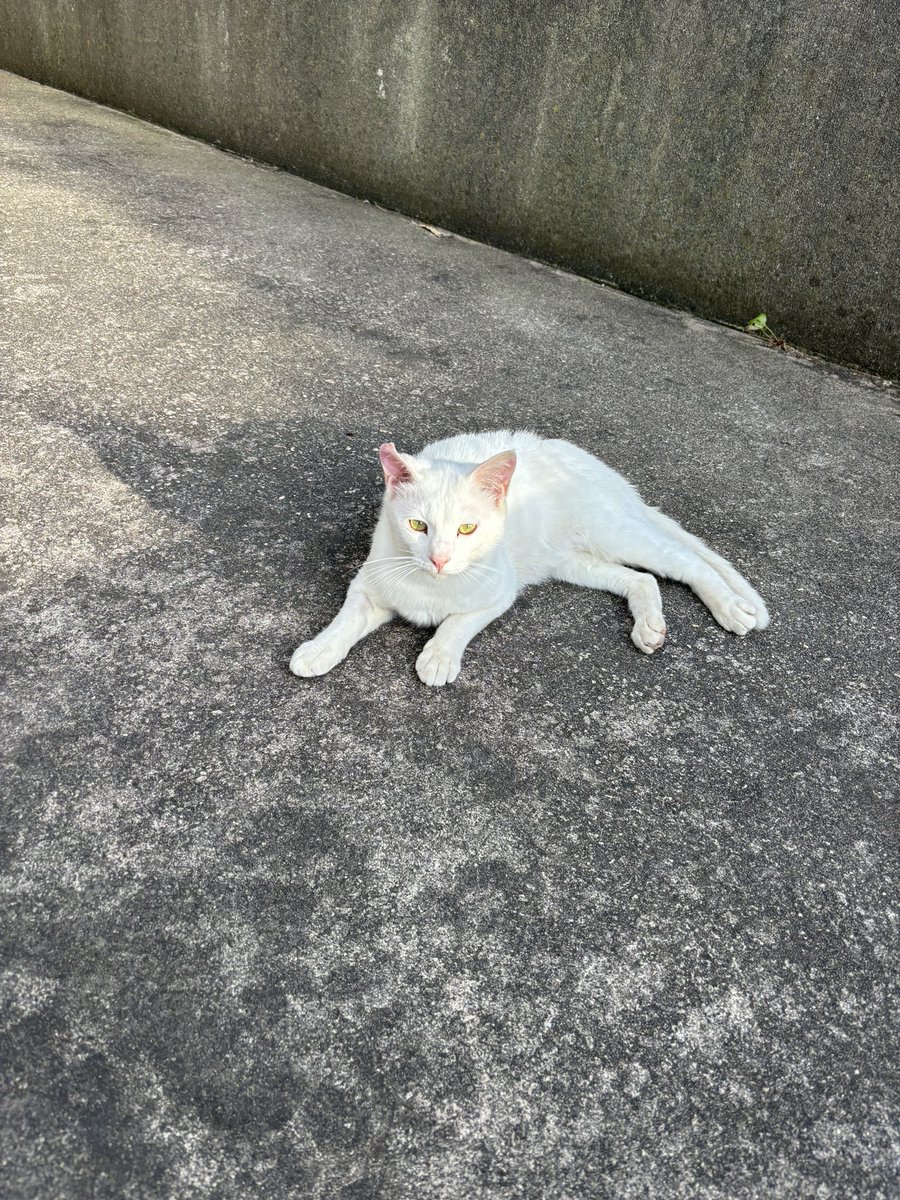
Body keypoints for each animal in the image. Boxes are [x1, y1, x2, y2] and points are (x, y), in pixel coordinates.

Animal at [292, 434, 772, 686]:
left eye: (467, 529)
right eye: (416, 526)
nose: (440, 560)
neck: (431, 585)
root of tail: (604, 470)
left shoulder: (499, 592)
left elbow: (458, 622)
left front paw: (440, 656)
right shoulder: (368, 584)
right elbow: (345, 619)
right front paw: (318, 649)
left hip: (615, 533)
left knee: (688, 562)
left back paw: (730, 607)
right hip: (572, 562)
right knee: (641, 579)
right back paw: (649, 624)